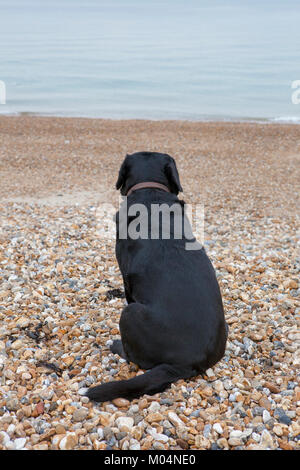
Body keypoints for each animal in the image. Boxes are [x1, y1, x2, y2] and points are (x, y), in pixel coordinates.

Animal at [85, 152, 229, 402]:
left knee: (135, 357)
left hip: (130, 314)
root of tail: (185, 364)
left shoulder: (126, 280)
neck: (150, 191)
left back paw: (116, 345)